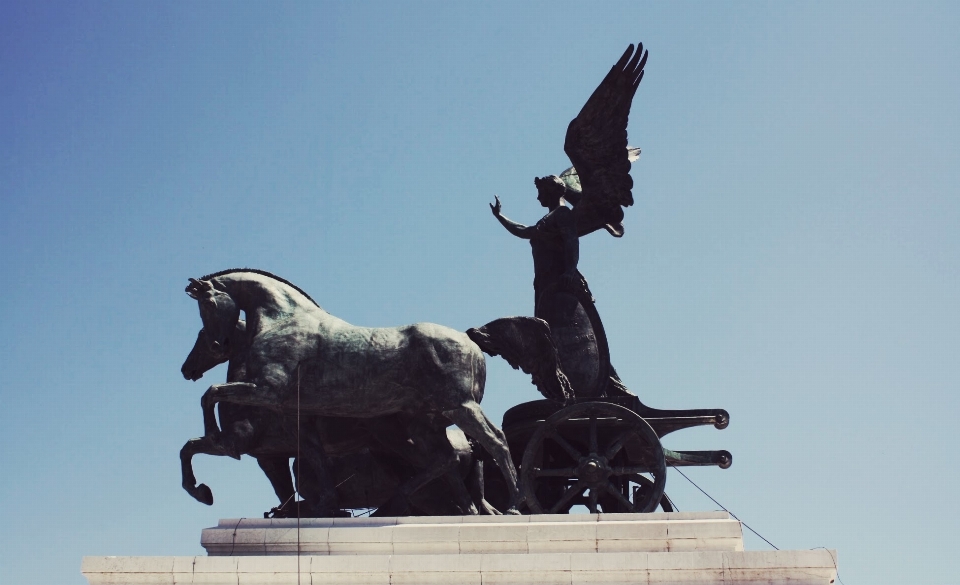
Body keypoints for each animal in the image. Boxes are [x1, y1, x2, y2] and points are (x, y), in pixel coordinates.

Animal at [180, 320, 498, 516]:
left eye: (203, 335)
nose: (187, 369)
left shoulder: (239, 443)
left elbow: (190, 447)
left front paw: (201, 491)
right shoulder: (269, 455)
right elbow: (285, 493)